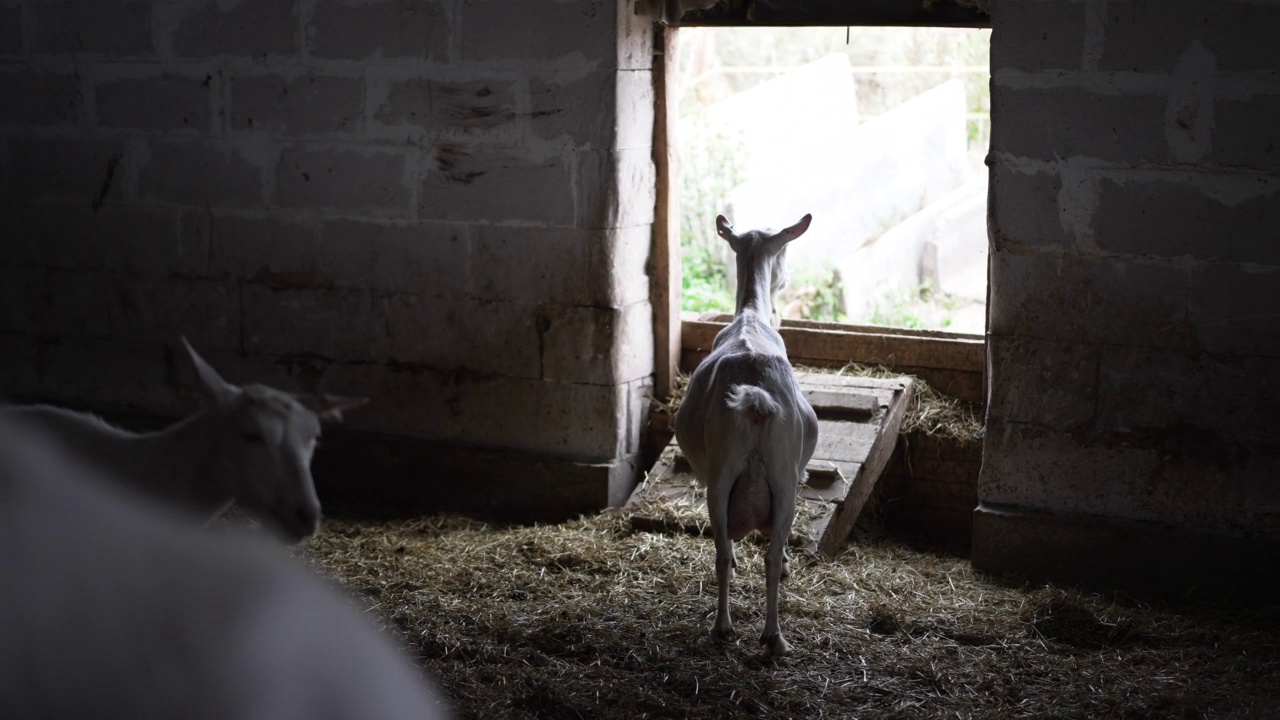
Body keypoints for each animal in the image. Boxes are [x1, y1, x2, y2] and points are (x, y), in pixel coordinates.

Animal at [670, 210, 819, 653]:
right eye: (783, 251)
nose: (785, 279)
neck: (750, 316)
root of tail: (756, 398)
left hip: (725, 475)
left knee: (724, 552)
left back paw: (729, 627)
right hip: (781, 478)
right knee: (765, 555)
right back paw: (772, 637)